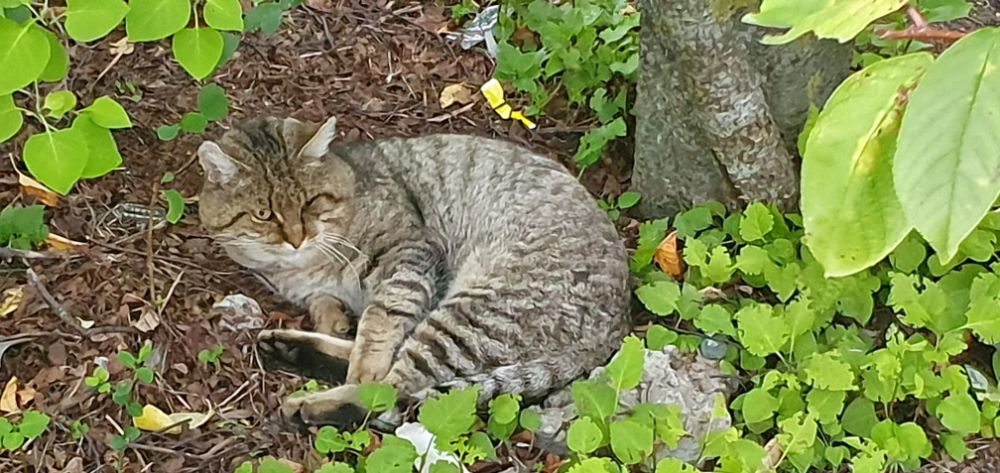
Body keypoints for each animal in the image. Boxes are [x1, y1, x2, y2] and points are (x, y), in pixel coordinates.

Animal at [197, 115, 630, 428]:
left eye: (310, 203)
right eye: (263, 214)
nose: (296, 238)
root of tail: (618, 326)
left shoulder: (409, 256)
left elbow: (378, 326)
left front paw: (360, 355)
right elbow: (333, 309)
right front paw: (331, 318)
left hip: (472, 312)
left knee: (392, 387)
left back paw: (312, 403)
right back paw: (290, 346)